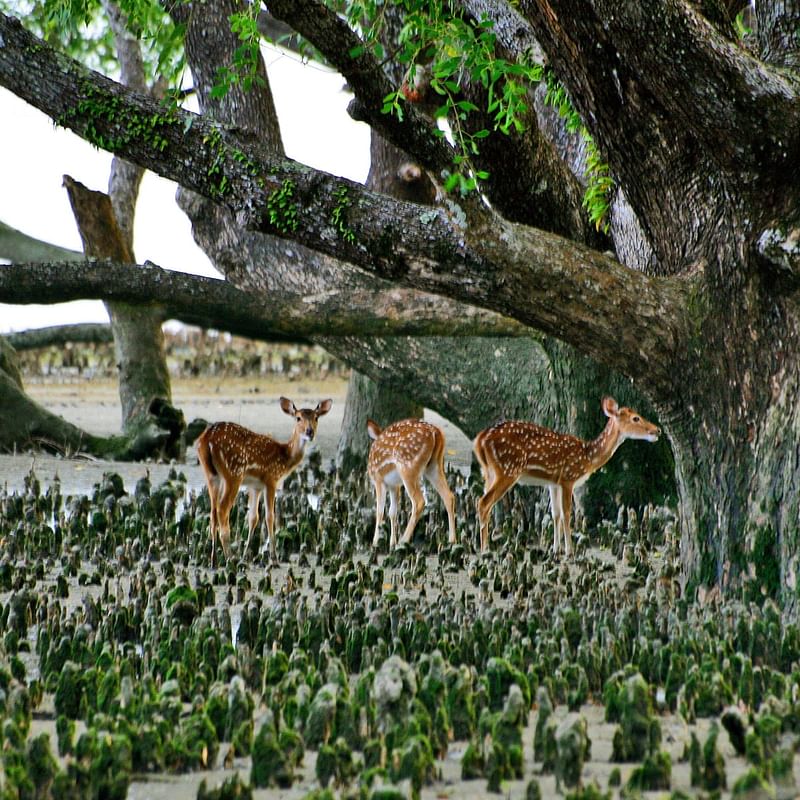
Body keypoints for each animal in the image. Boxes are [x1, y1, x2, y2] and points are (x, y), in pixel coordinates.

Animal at [197, 396, 332, 564]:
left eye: (316, 417)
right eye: (298, 418)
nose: (310, 432)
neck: (284, 458)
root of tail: (206, 439)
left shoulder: (256, 486)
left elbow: (253, 517)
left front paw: (246, 555)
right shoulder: (271, 479)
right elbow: (269, 517)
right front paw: (274, 558)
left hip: (211, 475)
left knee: (213, 512)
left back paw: (214, 560)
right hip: (233, 473)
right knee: (222, 509)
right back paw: (230, 557)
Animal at [368, 418, 456, 552]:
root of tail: (435, 432)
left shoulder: (379, 479)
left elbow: (379, 511)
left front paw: (375, 543)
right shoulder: (394, 485)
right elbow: (392, 512)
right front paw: (391, 543)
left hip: (408, 466)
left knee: (419, 501)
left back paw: (403, 540)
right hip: (434, 466)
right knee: (449, 496)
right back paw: (452, 540)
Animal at [472, 396, 660, 556]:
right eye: (636, 418)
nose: (657, 430)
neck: (587, 457)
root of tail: (479, 439)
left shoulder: (553, 482)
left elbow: (555, 514)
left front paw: (556, 549)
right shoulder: (568, 477)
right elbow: (567, 513)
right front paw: (570, 551)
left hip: (488, 472)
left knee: (482, 501)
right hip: (508, 470)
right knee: (483, 503)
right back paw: (485, 549)